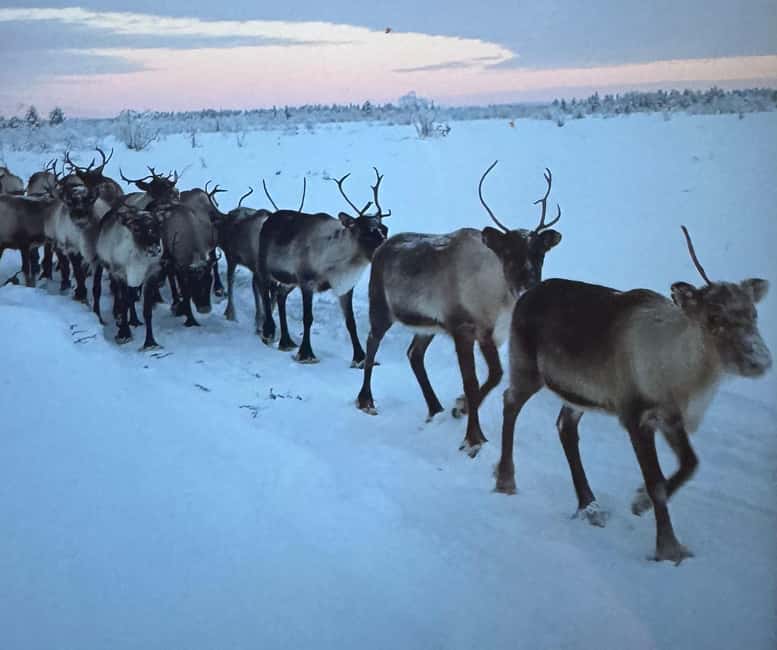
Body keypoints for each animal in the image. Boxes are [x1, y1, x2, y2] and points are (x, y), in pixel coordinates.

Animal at [256, 170, 389, 365]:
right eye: (367, 233)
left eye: (385, 229)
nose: (388, 249)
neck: (340, 262)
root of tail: (268, 219)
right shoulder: (306, 281)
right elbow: (308, 318)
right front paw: (306, 354)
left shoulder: (345, 287)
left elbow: (351, 322)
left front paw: (360, 358)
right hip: (265, 267)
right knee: (264, 292)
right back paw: (268, 332)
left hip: (290, 280)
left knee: (280, 295)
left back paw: (286, 341)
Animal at [356, 162, 562, 456]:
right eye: (508, 253)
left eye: (540, 253)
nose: (528, 287)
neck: (496, 296)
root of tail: (382, 246)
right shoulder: (463, 329)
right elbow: (472, 382)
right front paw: (473, 438)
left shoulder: (489, 335)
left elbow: (495, 375)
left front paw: (460, 407)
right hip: (382, 308)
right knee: (372, 342)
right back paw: (366, 400)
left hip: (427, 326)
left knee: (414, 354)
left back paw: (435, 408)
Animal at [493, 227, 772, 564]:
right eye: (713, 318)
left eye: (753, 314)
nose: (759, 361)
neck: (684, 378)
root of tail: (526, 293)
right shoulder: (635, 414)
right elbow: (657, 483)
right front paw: (668, 547)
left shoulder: (670, 416)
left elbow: (691, 463)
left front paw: (639, 503)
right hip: (527, 369)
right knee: (510, 402)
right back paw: (506, 480)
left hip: (580, 394)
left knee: (565, 427)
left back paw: (588, 504)